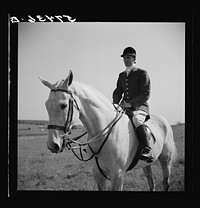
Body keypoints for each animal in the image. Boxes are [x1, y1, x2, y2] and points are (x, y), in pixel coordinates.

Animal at [38, 70, 177, 192]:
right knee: (150, 181)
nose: (52, 145)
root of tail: (164, 120)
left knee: (165, 183)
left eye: (63, 105)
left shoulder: (118, 175)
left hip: (166, 160)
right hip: (146, 163)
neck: (103, 131)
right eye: (46, 105)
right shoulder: (98, 174)